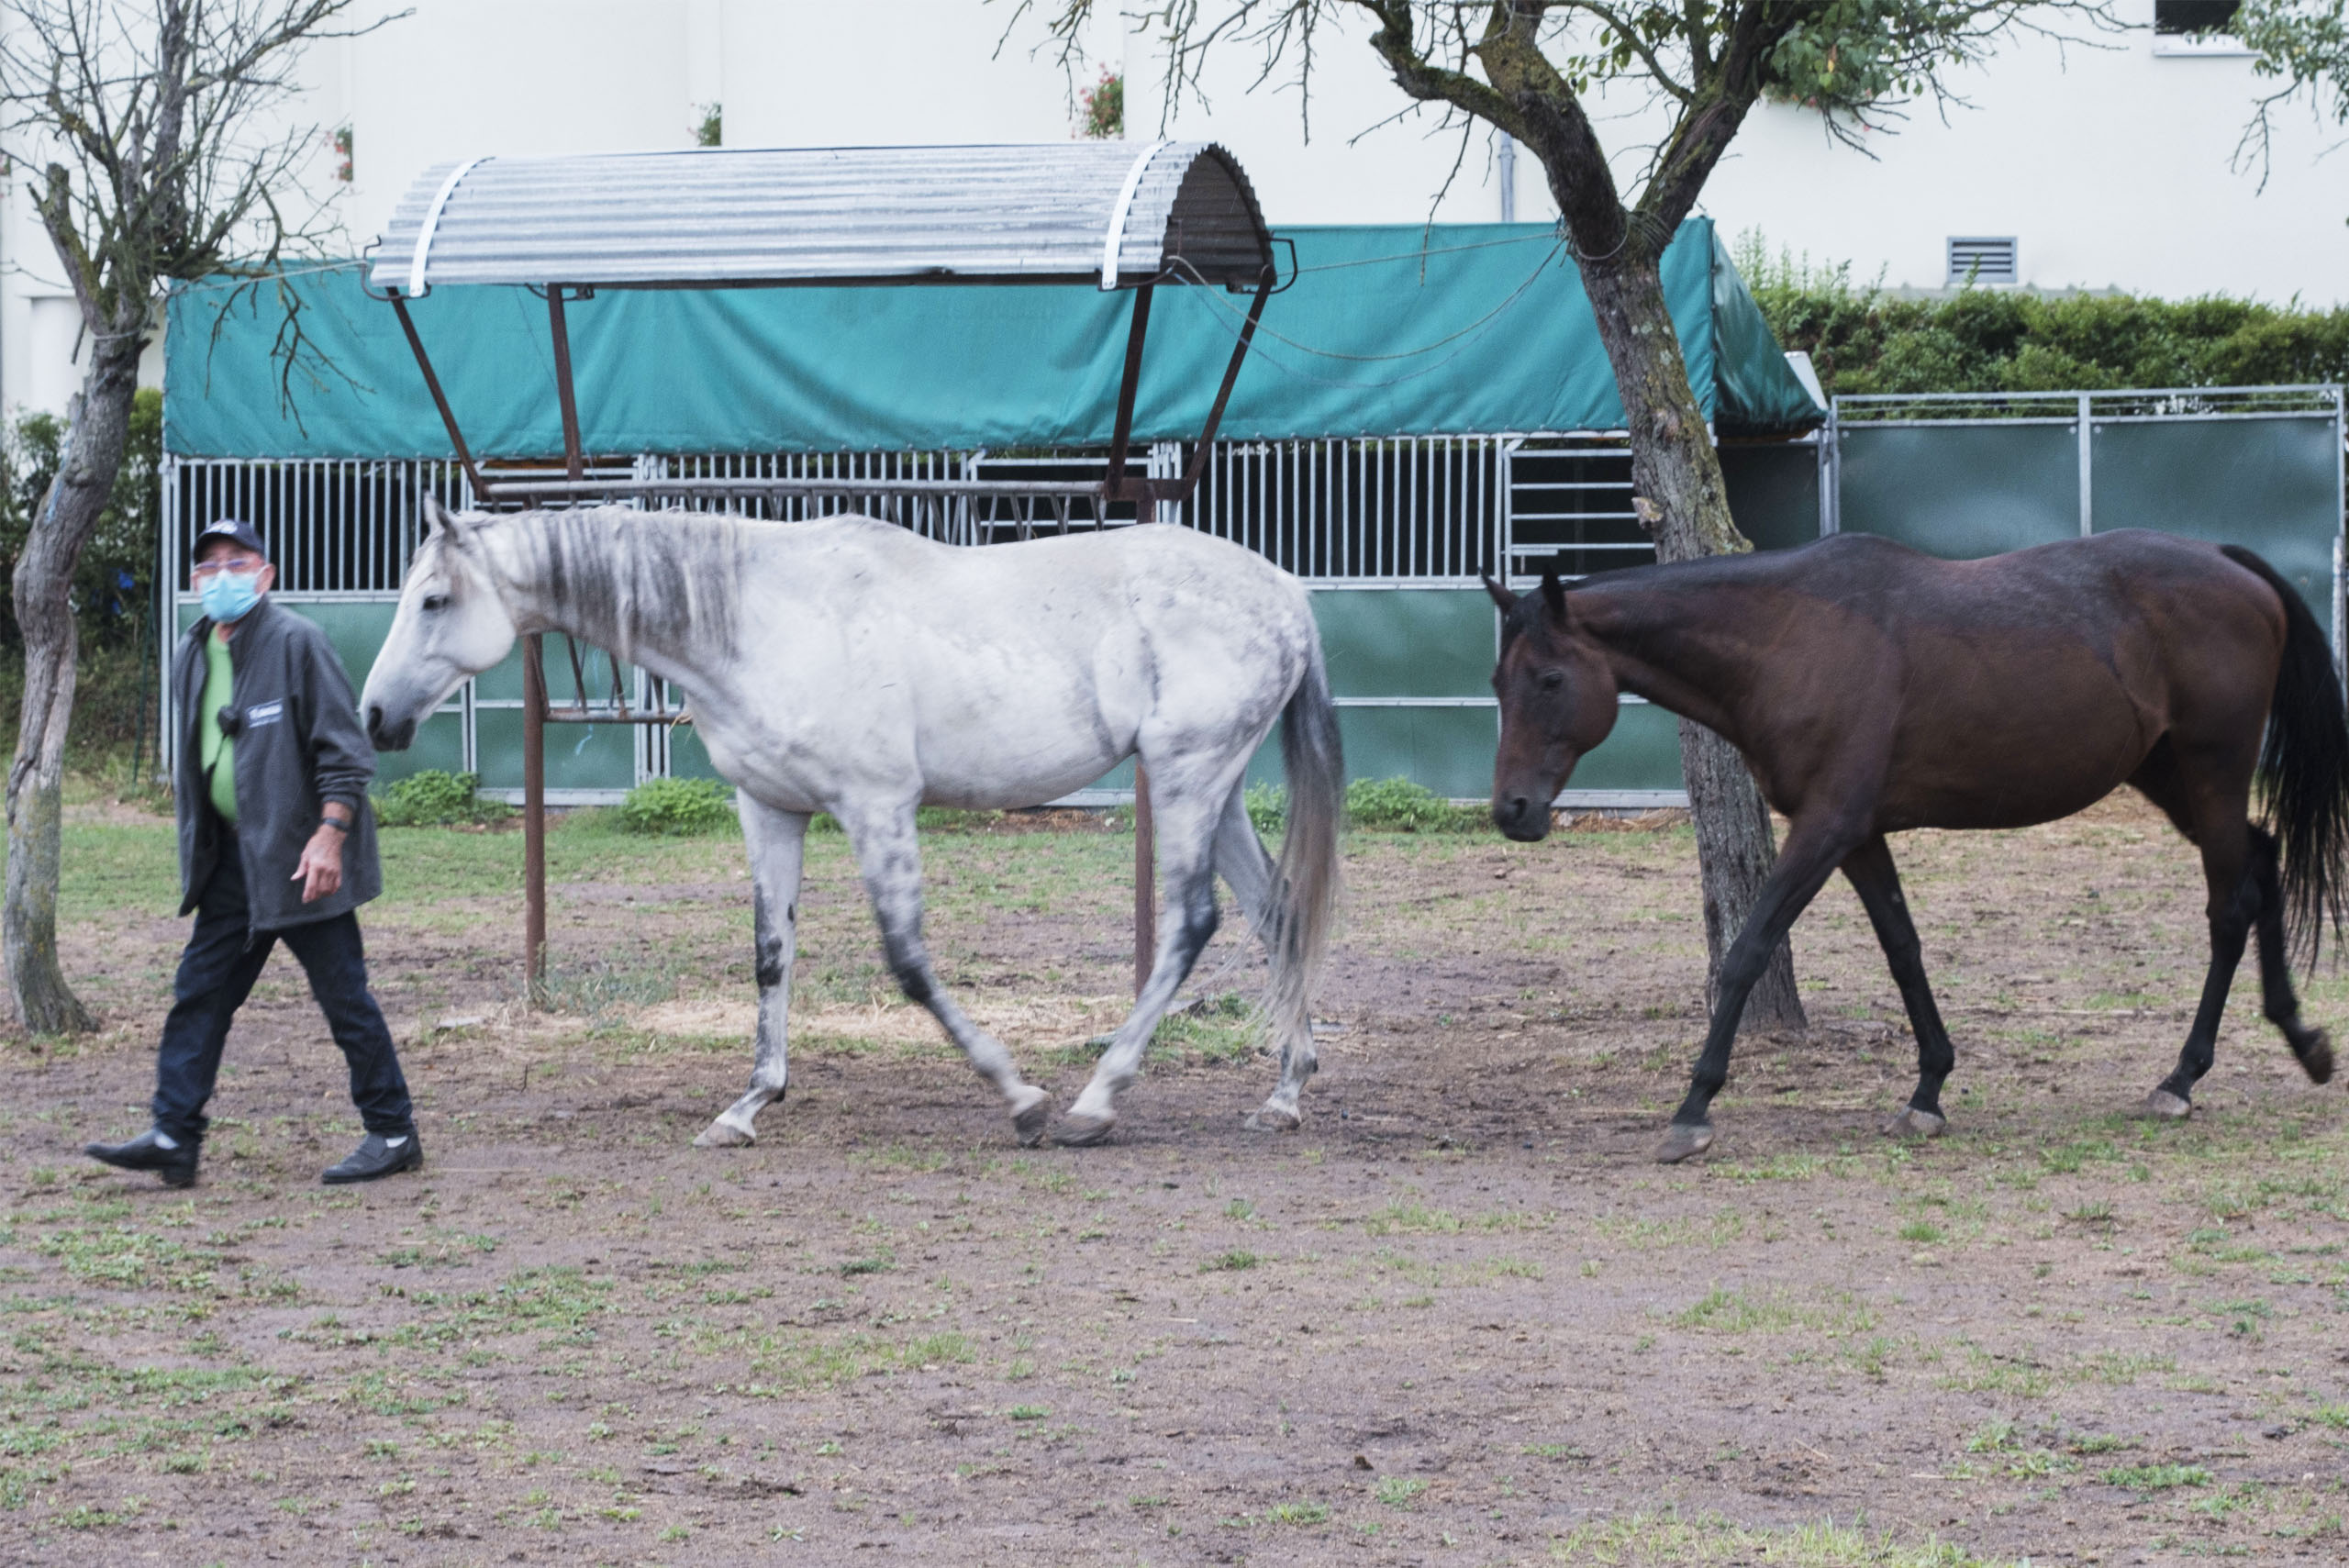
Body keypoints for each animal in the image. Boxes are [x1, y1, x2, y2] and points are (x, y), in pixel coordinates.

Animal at [352, 505, 1343, 1150]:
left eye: (434, 599)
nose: (374, 716)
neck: (763, 619)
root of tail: (1283, 593)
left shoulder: (877, 806)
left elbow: (907, 961)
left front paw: (1019, 1096)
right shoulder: (770, 809)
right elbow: (770, 956)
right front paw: (748, 1105)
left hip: (1185, 777)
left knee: (1192, 922)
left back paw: (1096, 1103)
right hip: (1210, 789)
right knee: (1276, 911)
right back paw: (1283, 1093)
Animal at [1484, 532, 2349, 1159]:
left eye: (1551, 680)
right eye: (1497, 682)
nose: (1512, 809)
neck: (1792, 638)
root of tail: (2232, 566)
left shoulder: (1825, 828)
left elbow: (1749, 949)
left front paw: (1693, 1108)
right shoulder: (1860, 835)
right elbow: (1903, 948)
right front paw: (1928, 1090)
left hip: (2211, 770)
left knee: (2230, 905)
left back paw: (2182, 1077)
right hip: (2170, 776)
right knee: (2263, 864)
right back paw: (2300, 1038)